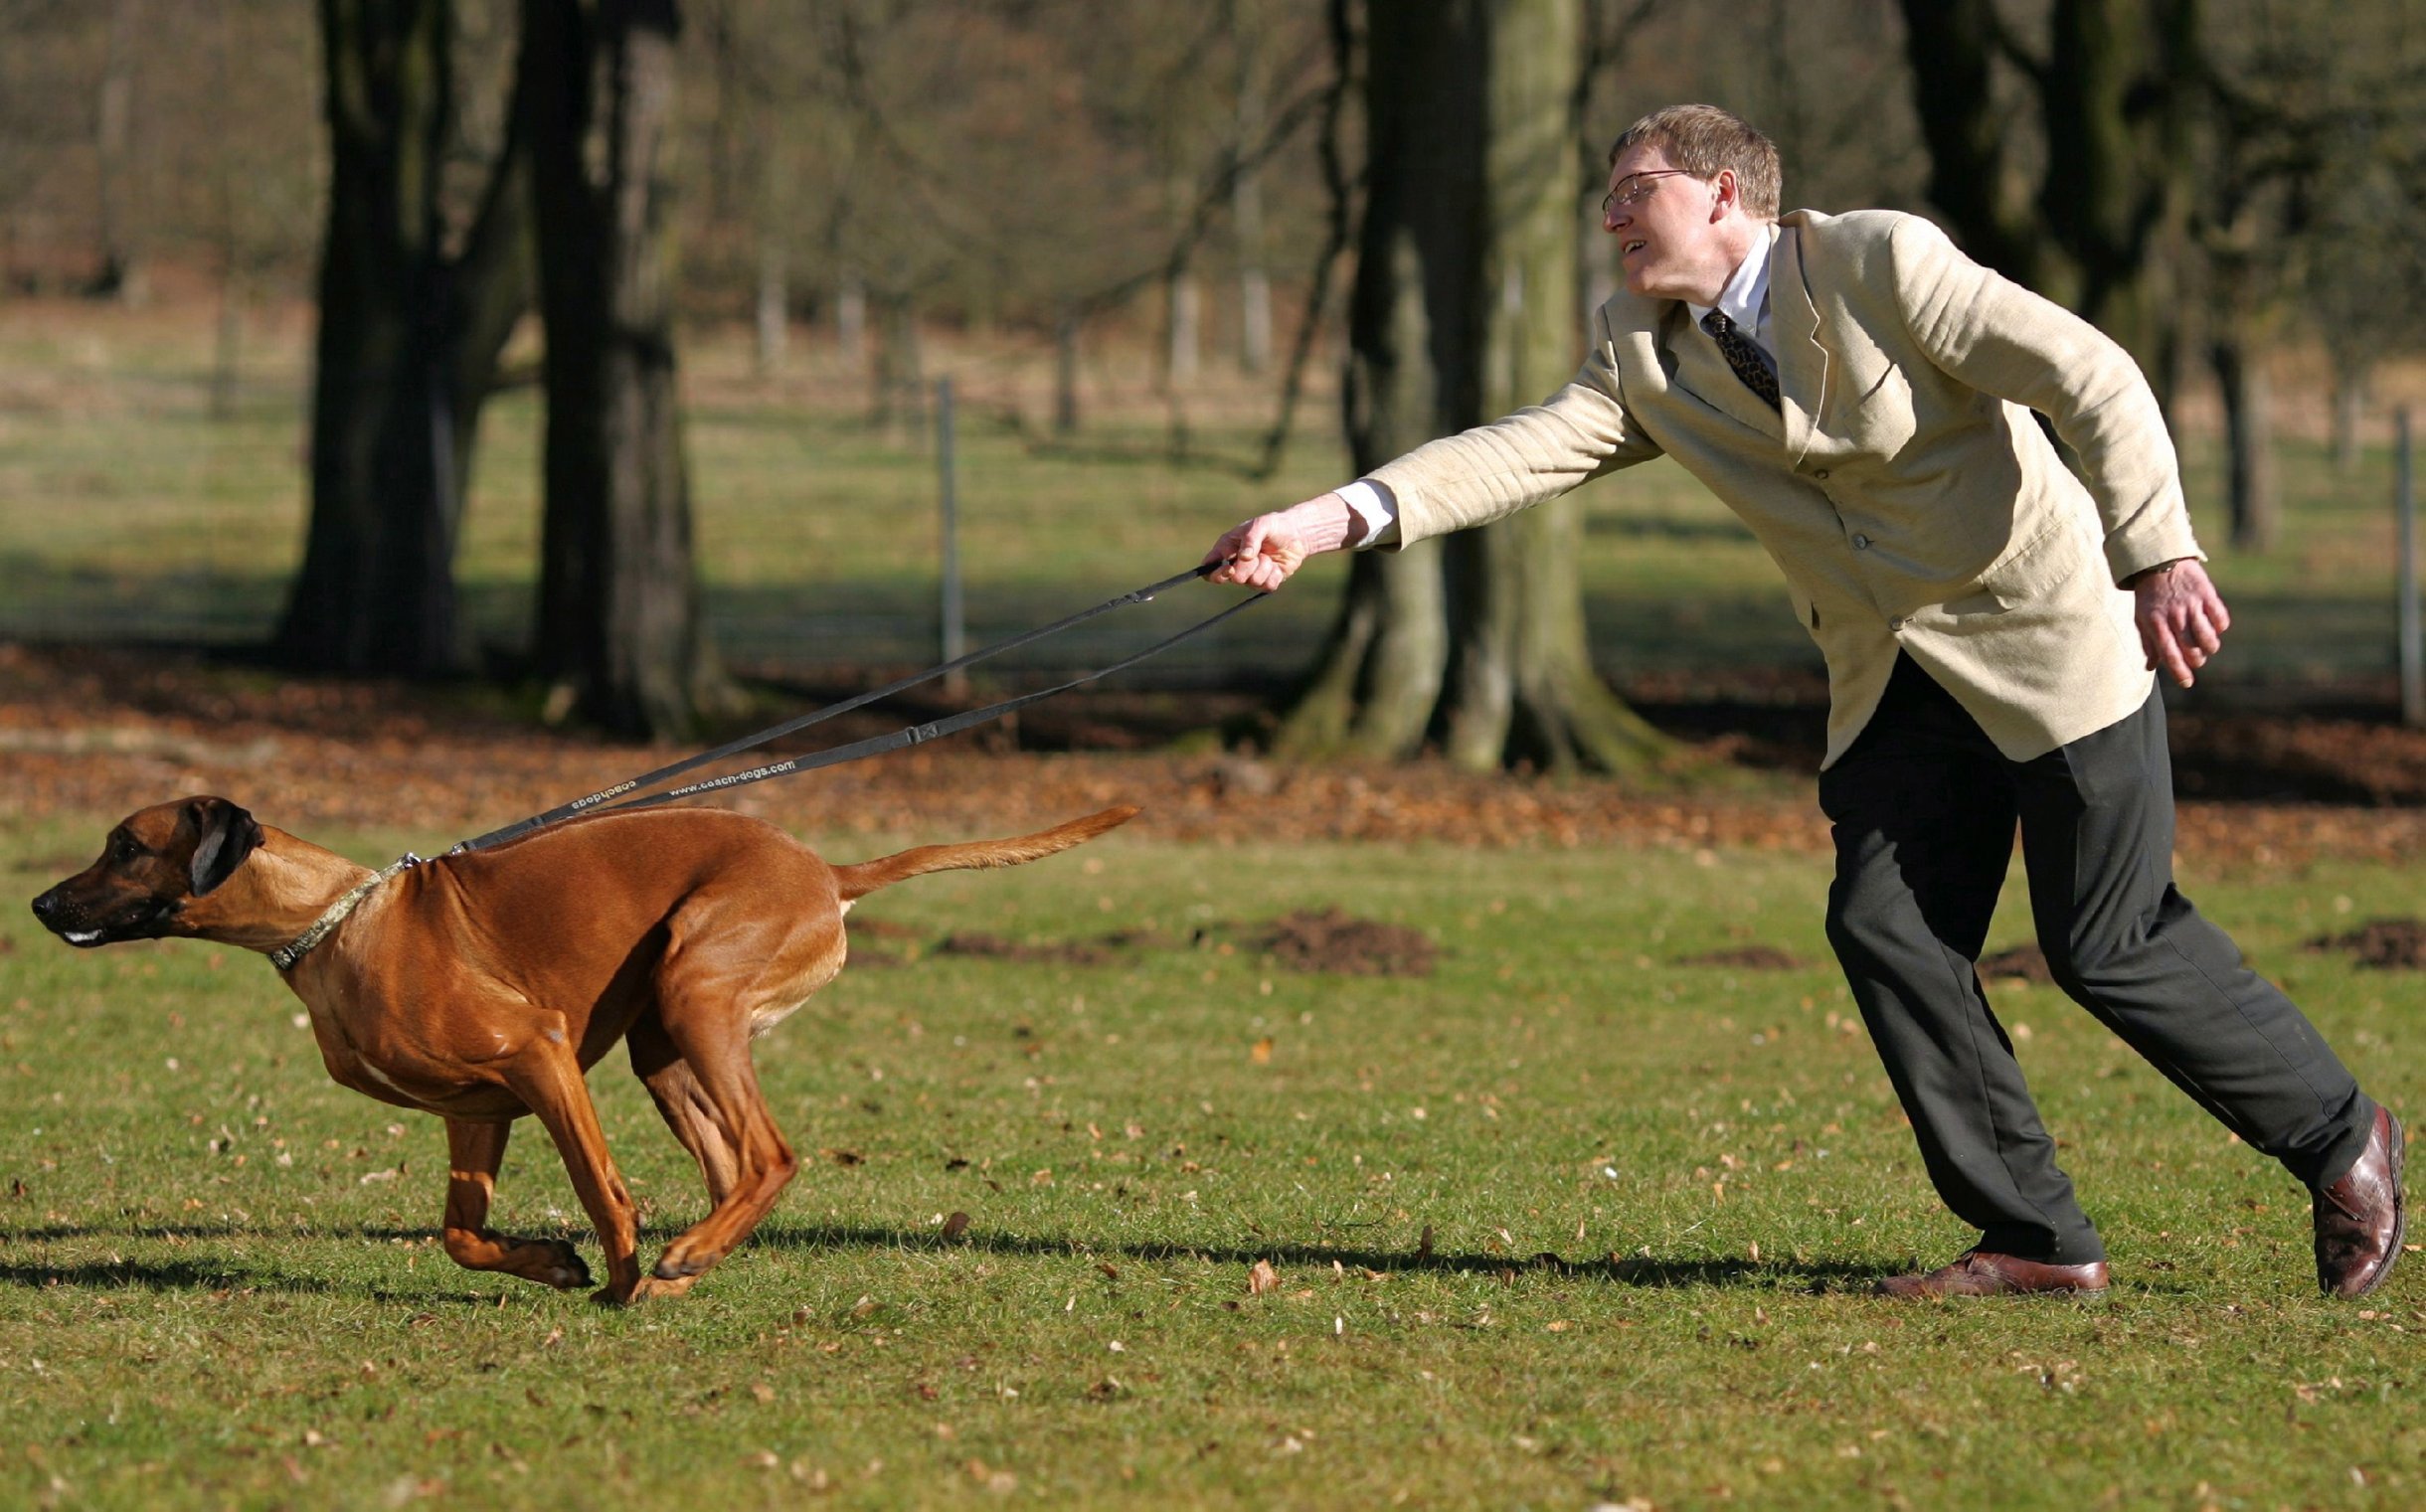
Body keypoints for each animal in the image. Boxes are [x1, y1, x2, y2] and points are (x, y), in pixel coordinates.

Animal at [33, 800, 1134, 1310]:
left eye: (126, 846)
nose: (40, 902)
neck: (334, 925)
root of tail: (825, 868)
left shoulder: (542, 1055)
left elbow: (603, 1190)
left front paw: (609, 1277)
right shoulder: (474, 1112)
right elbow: (459, 1234)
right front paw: (555, 1266)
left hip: (694, 993)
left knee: (771, 1157)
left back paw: (679, 1260)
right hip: (665, 1045)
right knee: (733, 1166)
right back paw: (693, 1263)